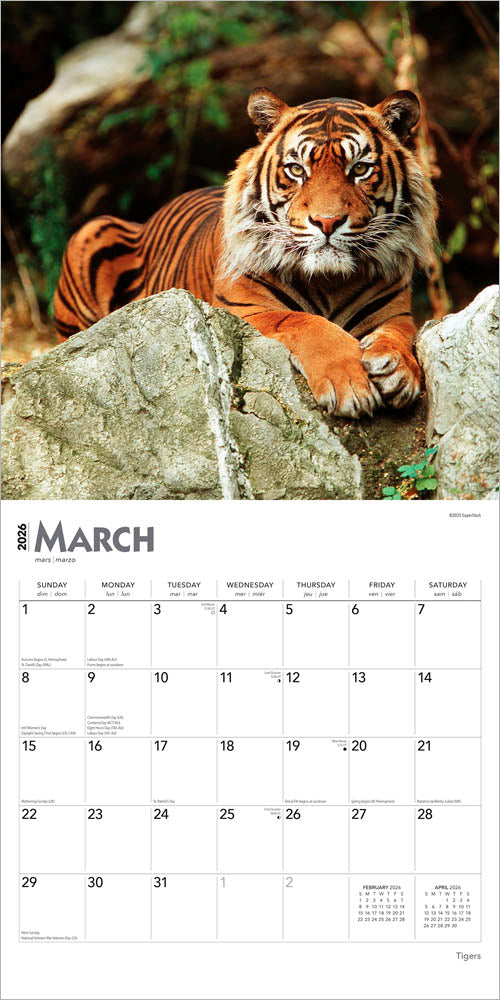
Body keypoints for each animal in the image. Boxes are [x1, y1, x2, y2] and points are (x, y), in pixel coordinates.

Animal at [54, 88, 437, 418]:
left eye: (359, 169)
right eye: (296, 170)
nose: (327, 222)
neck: (330, 281)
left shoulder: (396, 315)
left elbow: (399, 335)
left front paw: (398, 369)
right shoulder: (241, 312)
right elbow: (304, 322)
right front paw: (349, 384)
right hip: (91, 233)